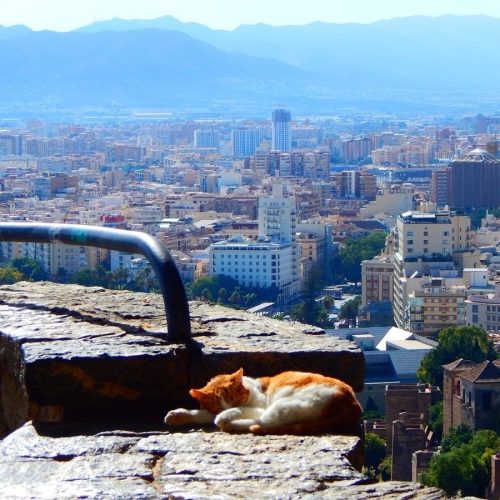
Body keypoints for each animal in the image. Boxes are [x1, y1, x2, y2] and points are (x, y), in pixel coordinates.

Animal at [166, 368, 362, 434]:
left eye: (235, 399)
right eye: (215, 404)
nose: (229, 408)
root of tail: (352, 400)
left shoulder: (257, 407)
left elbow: (226, 414)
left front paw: (224, 416)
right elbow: (203, 414)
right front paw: (178, 415)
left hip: (283, 405)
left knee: (265, 423)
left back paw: (231, 424)